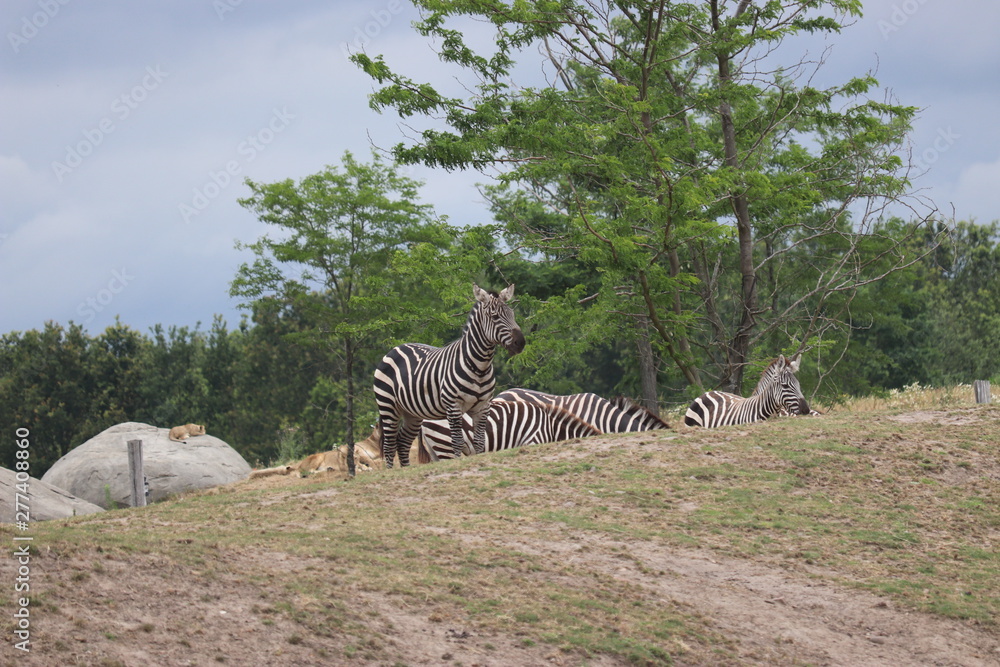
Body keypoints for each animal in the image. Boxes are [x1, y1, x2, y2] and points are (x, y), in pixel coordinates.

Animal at [373, 284, 525, 468]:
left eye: (512, 314)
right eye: (495, 317)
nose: (520, 343)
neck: (480, 367)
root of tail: (396, 348)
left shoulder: (483, 406)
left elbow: (480, 442)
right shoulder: (454, 406)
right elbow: (457, 442)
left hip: (412, 413)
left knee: (403, 442)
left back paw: (406, 470)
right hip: (388, 405)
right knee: (389, 445)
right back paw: (391, 471)